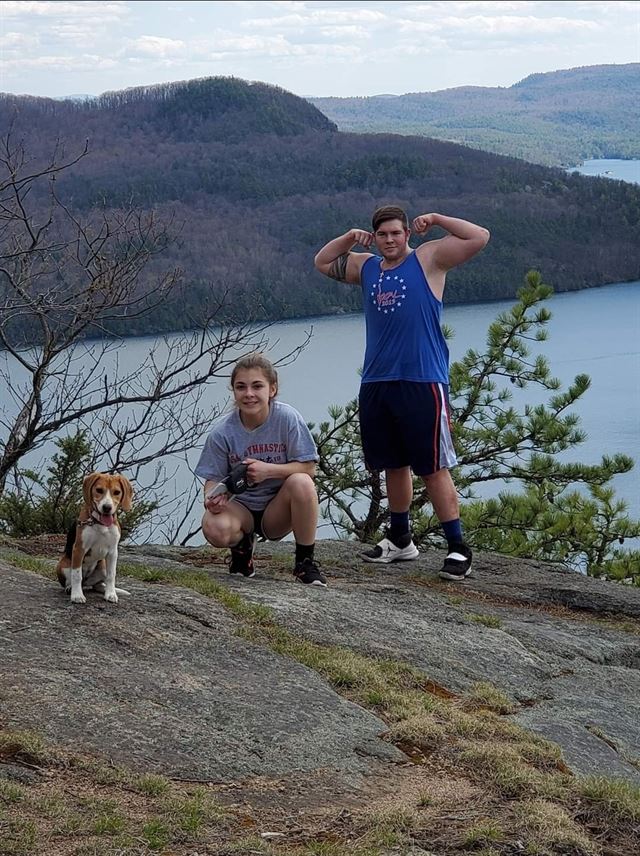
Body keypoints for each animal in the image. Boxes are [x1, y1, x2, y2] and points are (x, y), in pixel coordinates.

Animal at [56, 472, 133, 605]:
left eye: (117, 492)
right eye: (99, 490)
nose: (107, 507)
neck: (100, 523)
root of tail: (86, 582)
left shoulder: (113, 552)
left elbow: (111, 575)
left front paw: (111, 594)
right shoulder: (79, 549)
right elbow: (76, 575)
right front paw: (77, 595)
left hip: (102, 566)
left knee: (97, 584)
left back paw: (103, 588)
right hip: (63, 564)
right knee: (73, 580)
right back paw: (71, 588)